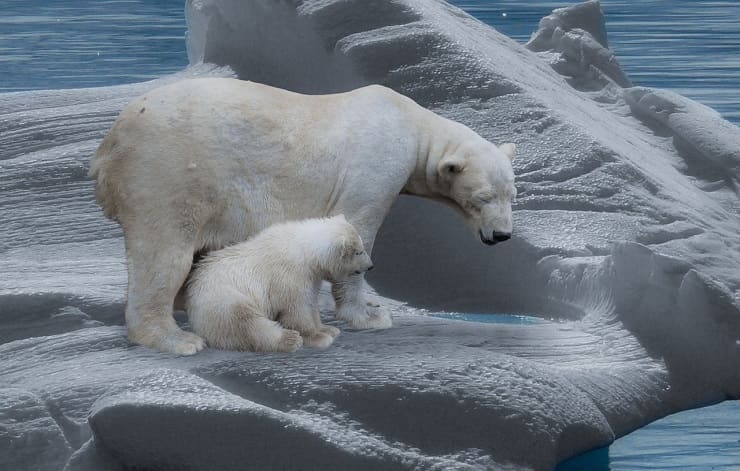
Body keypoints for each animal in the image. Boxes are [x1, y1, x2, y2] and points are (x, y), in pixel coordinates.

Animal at [184, 215, 373, 352]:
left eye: (361, 247)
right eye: (359, 251)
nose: (371, 266)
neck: (303, 250)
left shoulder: (310, 277)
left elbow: (311, 303)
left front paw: (328, 329)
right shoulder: (289, 276)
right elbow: (296, 309)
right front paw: (318, 337)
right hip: (224, 299)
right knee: (247, 323)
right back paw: (290, 339)